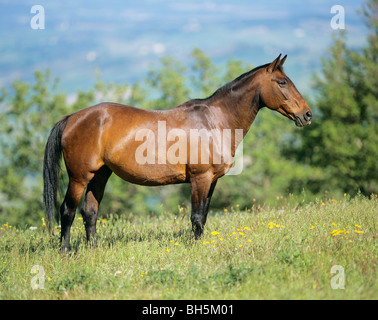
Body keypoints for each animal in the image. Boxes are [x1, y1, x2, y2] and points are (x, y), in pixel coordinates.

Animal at [42, 54, 312, 250]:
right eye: (282, 82)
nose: (307, 114)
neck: (215, 121)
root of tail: (72, 118)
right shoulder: (200, 178)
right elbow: (196, 217)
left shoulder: (211, 181)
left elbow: (203, 216)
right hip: (80, 177)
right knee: (68, 211)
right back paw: (65, 252)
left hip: (100, 174)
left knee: (90, 212)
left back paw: (94, 249)